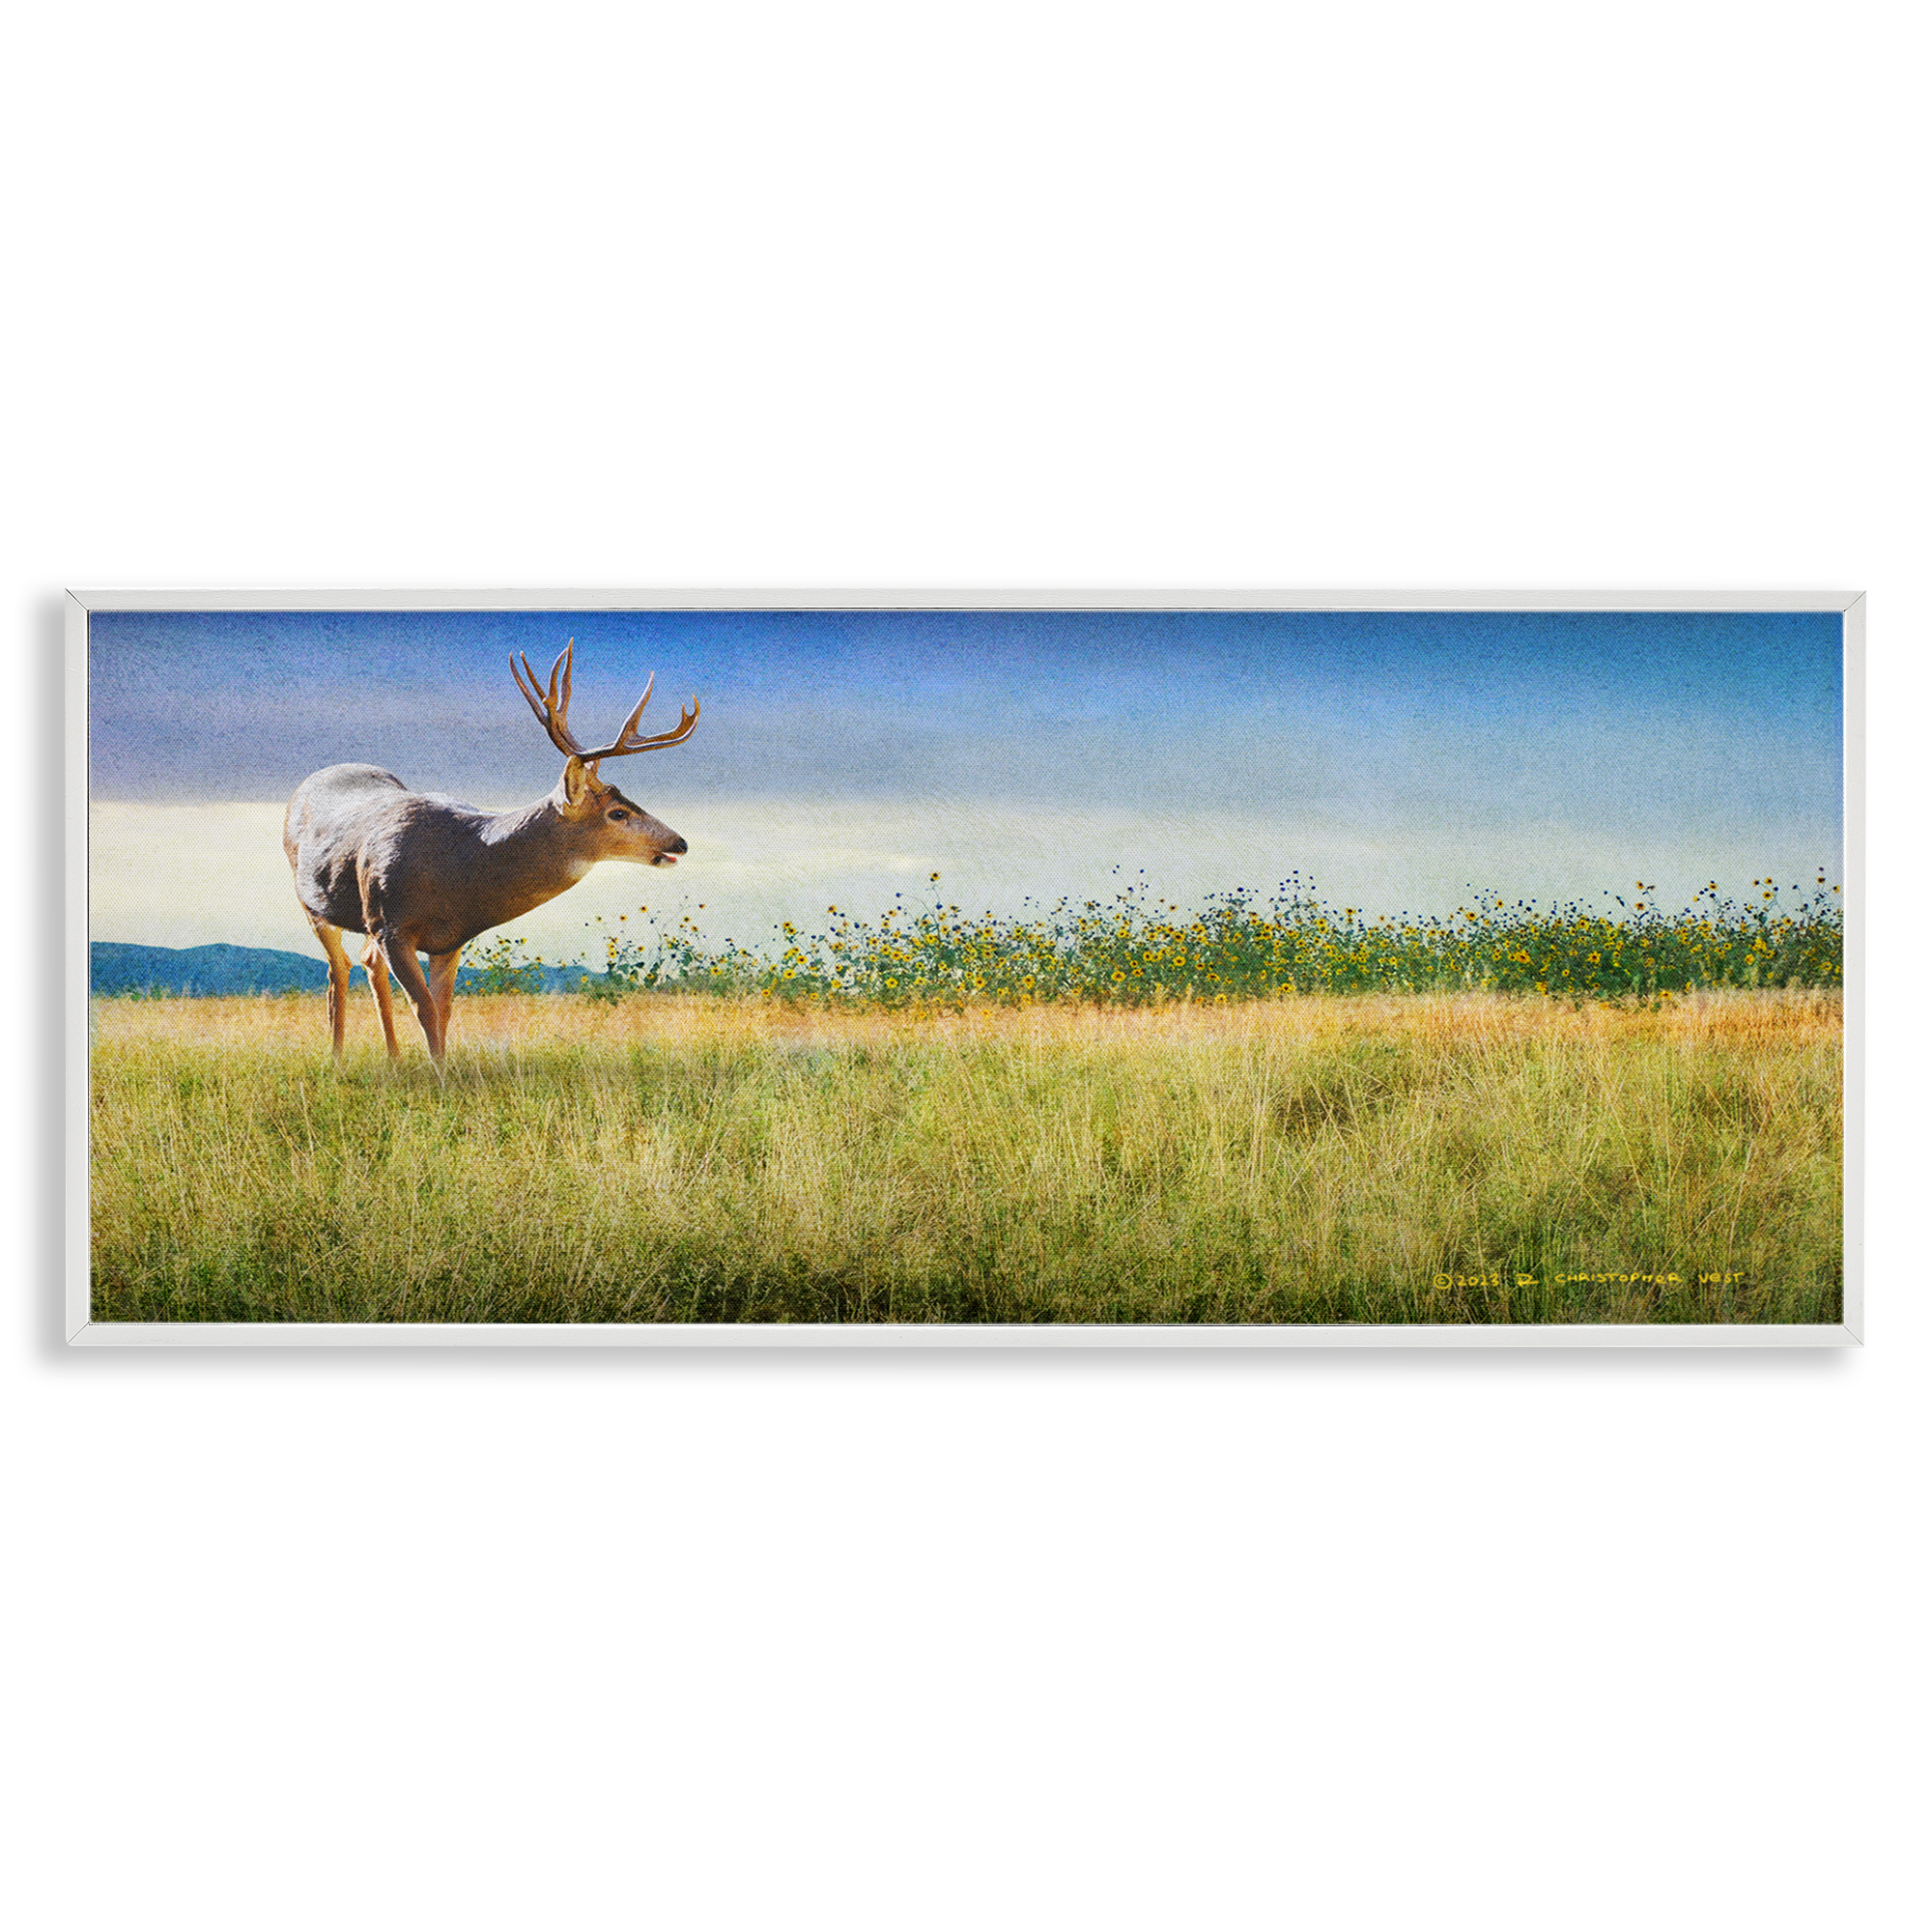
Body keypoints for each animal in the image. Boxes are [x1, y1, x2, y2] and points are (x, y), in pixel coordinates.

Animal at [282, 640, 699, 1062]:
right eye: (617, 812)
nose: (678, 842)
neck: (461, 869)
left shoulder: (447, 940)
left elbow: (443, 1011)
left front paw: (441, 1066)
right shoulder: (391, 925)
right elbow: (424, 1008)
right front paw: (438, 1076)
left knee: (367, 964)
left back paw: (394, 1060)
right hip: (314, 903)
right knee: (338, 968)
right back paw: (337, 1059)